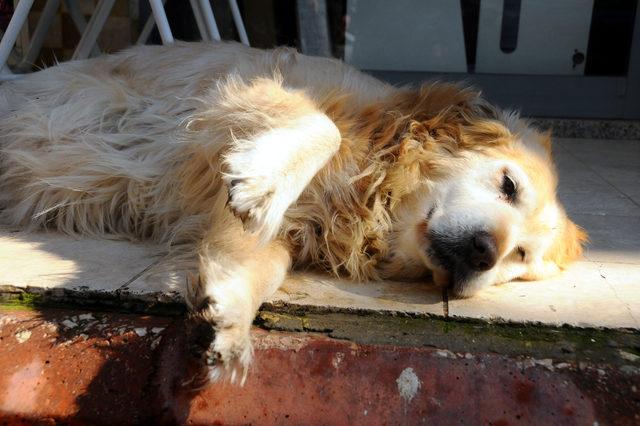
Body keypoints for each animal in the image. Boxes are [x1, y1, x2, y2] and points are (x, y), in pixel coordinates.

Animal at [0, 41, 588, 382]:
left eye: (520, 259)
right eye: (508, 185)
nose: (486, 254)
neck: (373, 186)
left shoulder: (275, 232)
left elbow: (261, 265)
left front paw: (230, 317)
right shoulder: (246, 90)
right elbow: (321, 129)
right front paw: (263, 182)